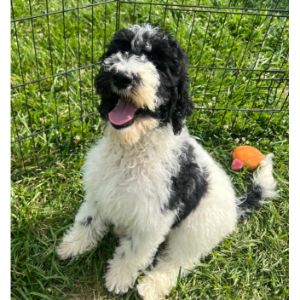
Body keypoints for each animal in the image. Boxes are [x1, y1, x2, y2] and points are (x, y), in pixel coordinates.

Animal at [57, 24, 278, 300]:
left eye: (160, 65)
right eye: (121, 50)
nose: (122, 77)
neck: (131, 149)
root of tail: (236, 206)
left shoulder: (153, 218)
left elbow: (134, 251)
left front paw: (119, 277)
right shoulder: (99, 191)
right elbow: (87, 220)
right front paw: (73, 245)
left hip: (196, 229)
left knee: (177, 262)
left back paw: (153, 285)